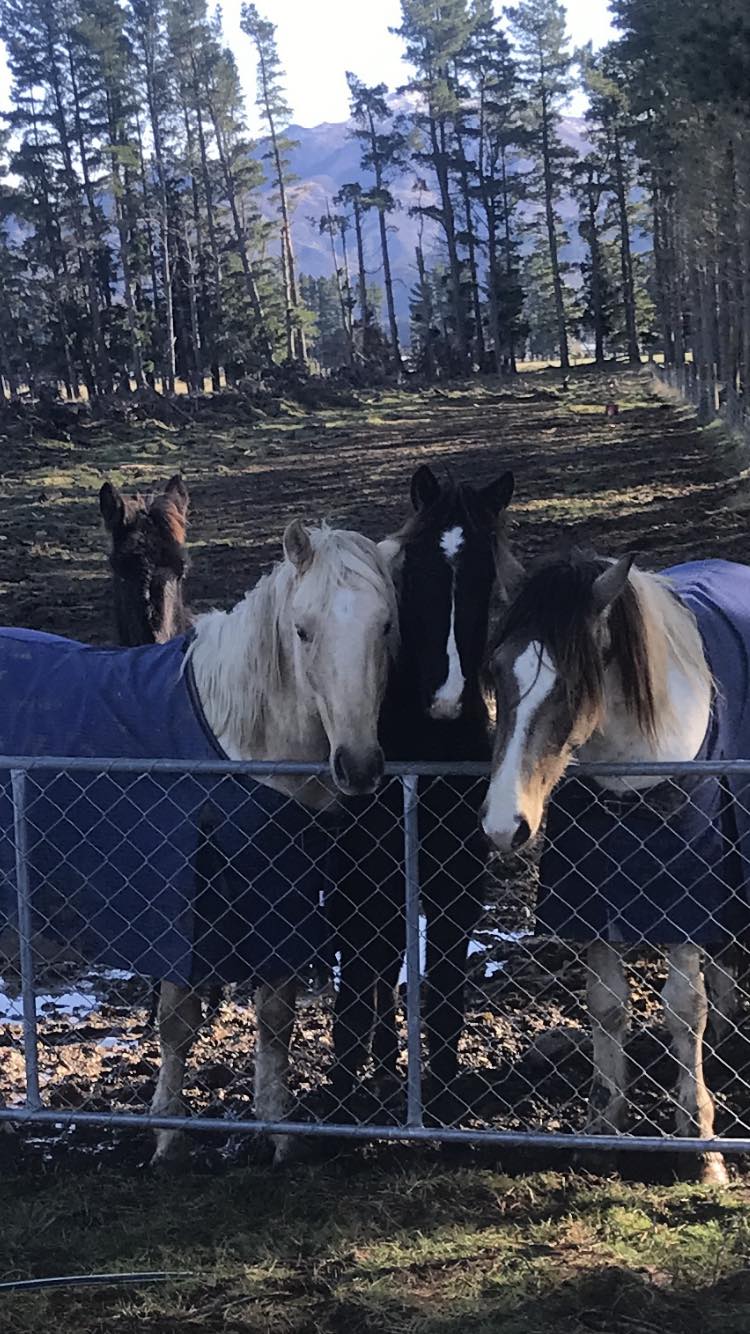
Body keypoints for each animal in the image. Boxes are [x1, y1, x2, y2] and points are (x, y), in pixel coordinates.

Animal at [329, 469, 517, 1115]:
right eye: (417, 572)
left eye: (486, 574)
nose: (447, 700)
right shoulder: (369, 882)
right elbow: (359, 993)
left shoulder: (459, 887)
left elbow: (445, 998)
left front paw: (443, 1094)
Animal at [477, 552, 747, 1189]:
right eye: (496, 670)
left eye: (576, 683)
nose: (504, 826)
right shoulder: (595, 902)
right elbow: (606, 1006)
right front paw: (602, 1127)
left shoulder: (683, 897)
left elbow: (683, 1009)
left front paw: (699, 1144)